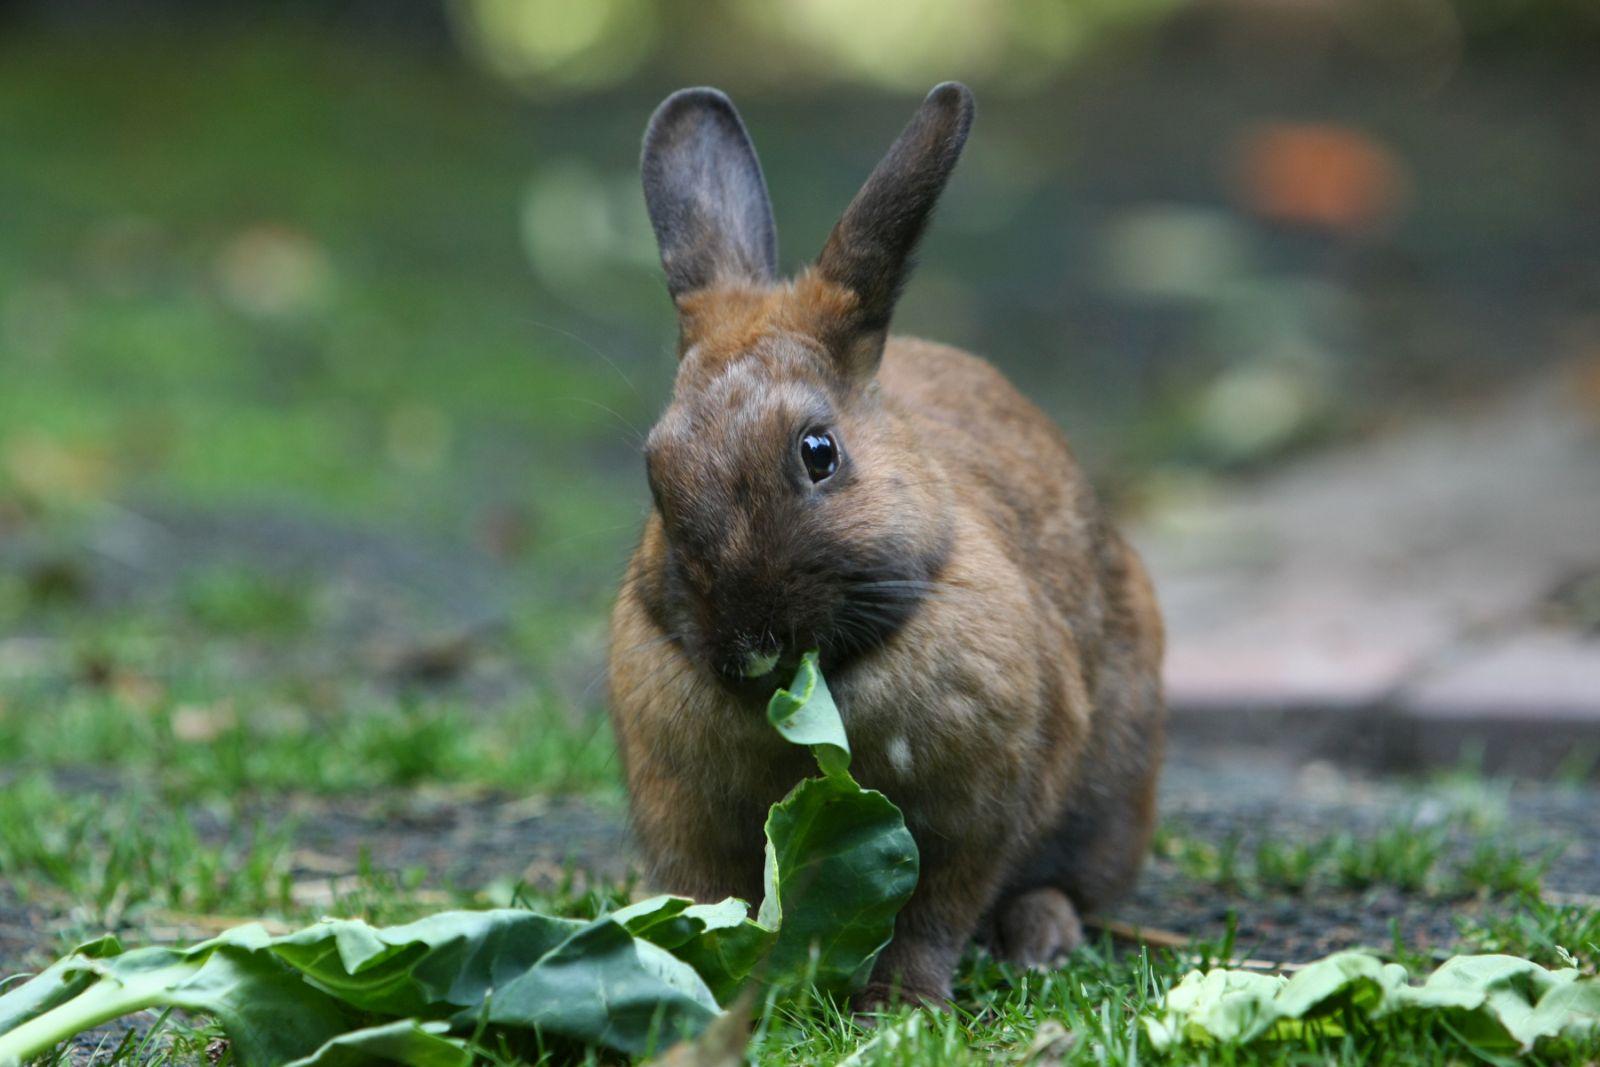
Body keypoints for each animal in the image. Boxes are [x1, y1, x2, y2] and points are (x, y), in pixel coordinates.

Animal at [608, 83, 1164, 1011]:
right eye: (656, 470)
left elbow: (936, 911)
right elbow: (716, 895)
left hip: (1114, 791)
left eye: (818, 453)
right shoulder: (682, 816)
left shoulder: (977, 813)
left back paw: (1041, 939)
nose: (748, 644)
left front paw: (904, 1002)